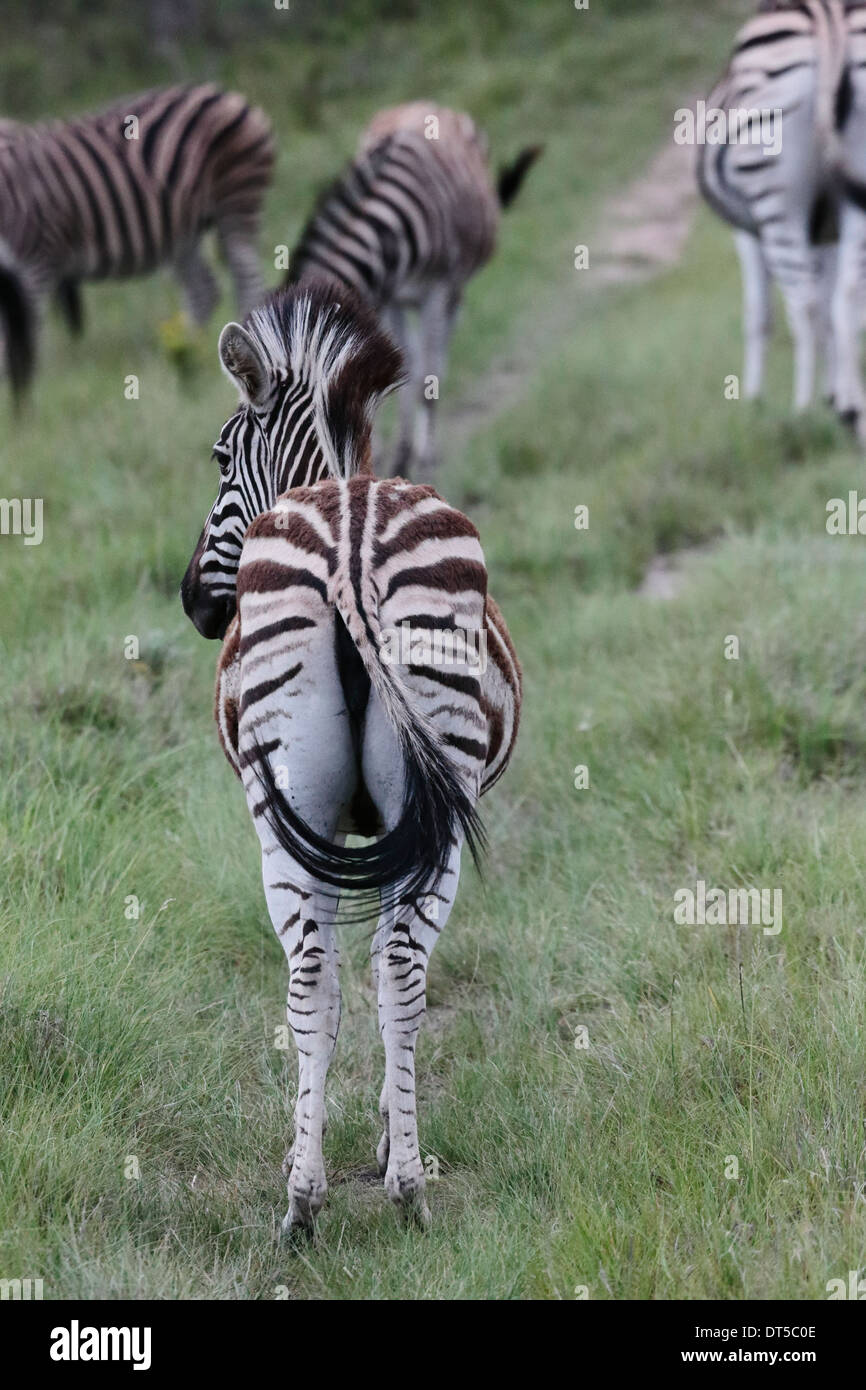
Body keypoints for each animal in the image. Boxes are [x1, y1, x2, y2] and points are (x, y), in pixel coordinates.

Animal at [0, 85, 273, 397]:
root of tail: (228, 95)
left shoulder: (38, 254)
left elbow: (26, 326)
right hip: (183, 229)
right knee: (204, 289)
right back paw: (191, 347)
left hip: (236, 198)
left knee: (246, 277)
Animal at [180, 279, 522, 1228]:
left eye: (219, 458)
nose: (193, 604)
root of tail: (350, 537)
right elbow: (371, 970)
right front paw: (377, 1135)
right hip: (413, 814)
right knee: (391, 970)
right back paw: (390, 1188)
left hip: (290, 814)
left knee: (323, 979)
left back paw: (315, 1195)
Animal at [286, 97, 542, 478]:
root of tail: (423, 103)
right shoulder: (387, 299)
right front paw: (396, 458)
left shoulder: (435, 290)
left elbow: (425, 380)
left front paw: (422, 460)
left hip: (453, 288)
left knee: (440, 350)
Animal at [695, 0, 866, 428]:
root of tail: (827, 17)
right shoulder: (826, 232)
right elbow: (832, 308)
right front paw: (837, 391)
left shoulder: (749, 234)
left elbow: (759, 314)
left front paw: (753, 403)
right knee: (846, 298)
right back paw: (852, 413)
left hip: (775, 200)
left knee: (803, 305)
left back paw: (802, 414)